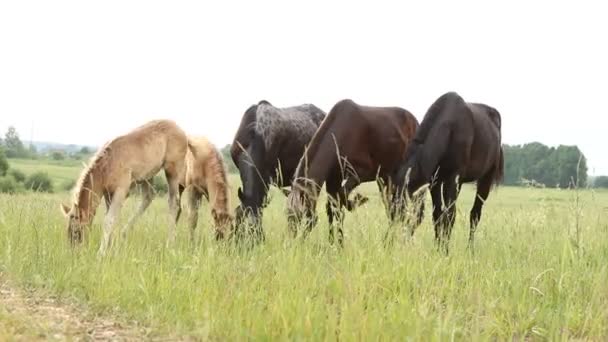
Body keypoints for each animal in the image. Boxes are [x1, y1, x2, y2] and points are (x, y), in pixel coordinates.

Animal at [60, 119, 188, 255]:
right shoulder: (108, 194)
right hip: (147, 176)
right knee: (149, 196)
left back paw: (170, 244)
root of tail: (181, 130)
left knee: (174, 203)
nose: (74, 252)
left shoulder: (120, 191)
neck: (107, 165)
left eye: (76, 230)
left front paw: (101, 253)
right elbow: (111, 218)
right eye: (68, 230)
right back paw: (124, 233)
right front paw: (110, 247)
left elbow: (108, 220)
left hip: (172, 170)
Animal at [394, 92, 504, 252]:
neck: (450, 128)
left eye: (403, 211)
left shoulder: (453, 178)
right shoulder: (434, 181)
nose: (391, 242)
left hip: (486, 179)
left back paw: (470, 250)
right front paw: (437, 247)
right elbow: (437, 215)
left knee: (475, 214)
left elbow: (450, 215)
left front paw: (444, 251)